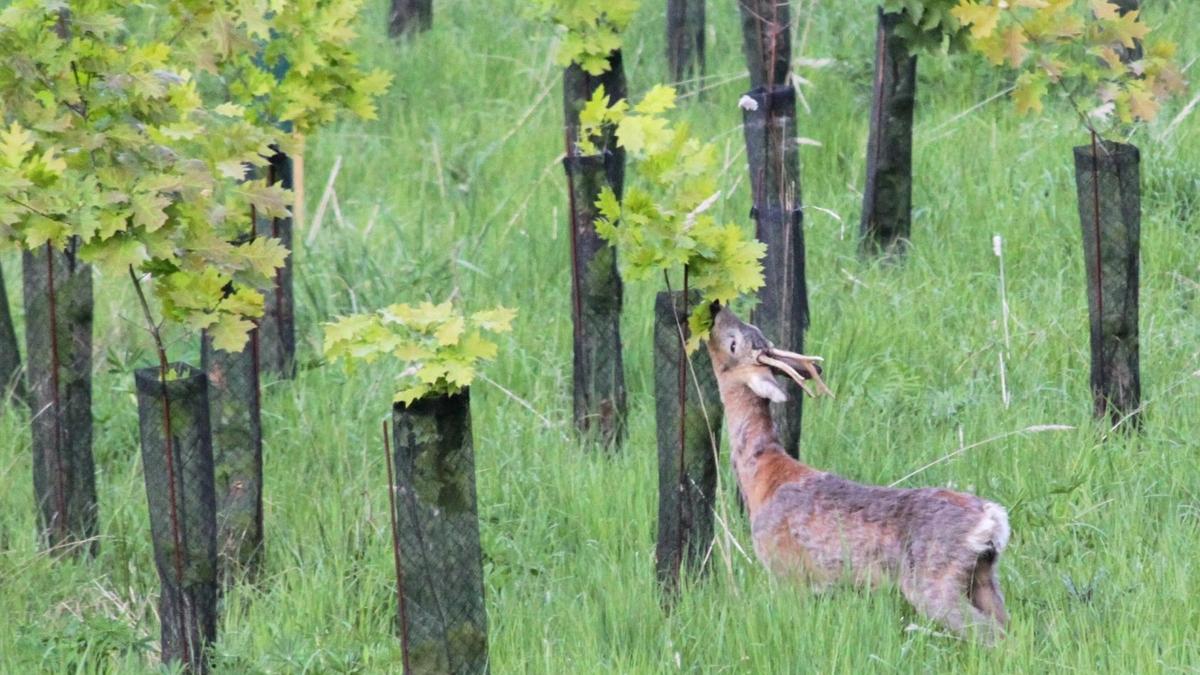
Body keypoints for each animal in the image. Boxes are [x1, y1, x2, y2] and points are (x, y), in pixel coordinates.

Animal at [705, 302, 1008, 638]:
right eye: (753, 329)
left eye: (733, 344)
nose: (717, 308)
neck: (765, 476)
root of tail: (991, 520)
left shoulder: (787, 571)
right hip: (983, 575)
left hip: (933, 581)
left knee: (991, 635)